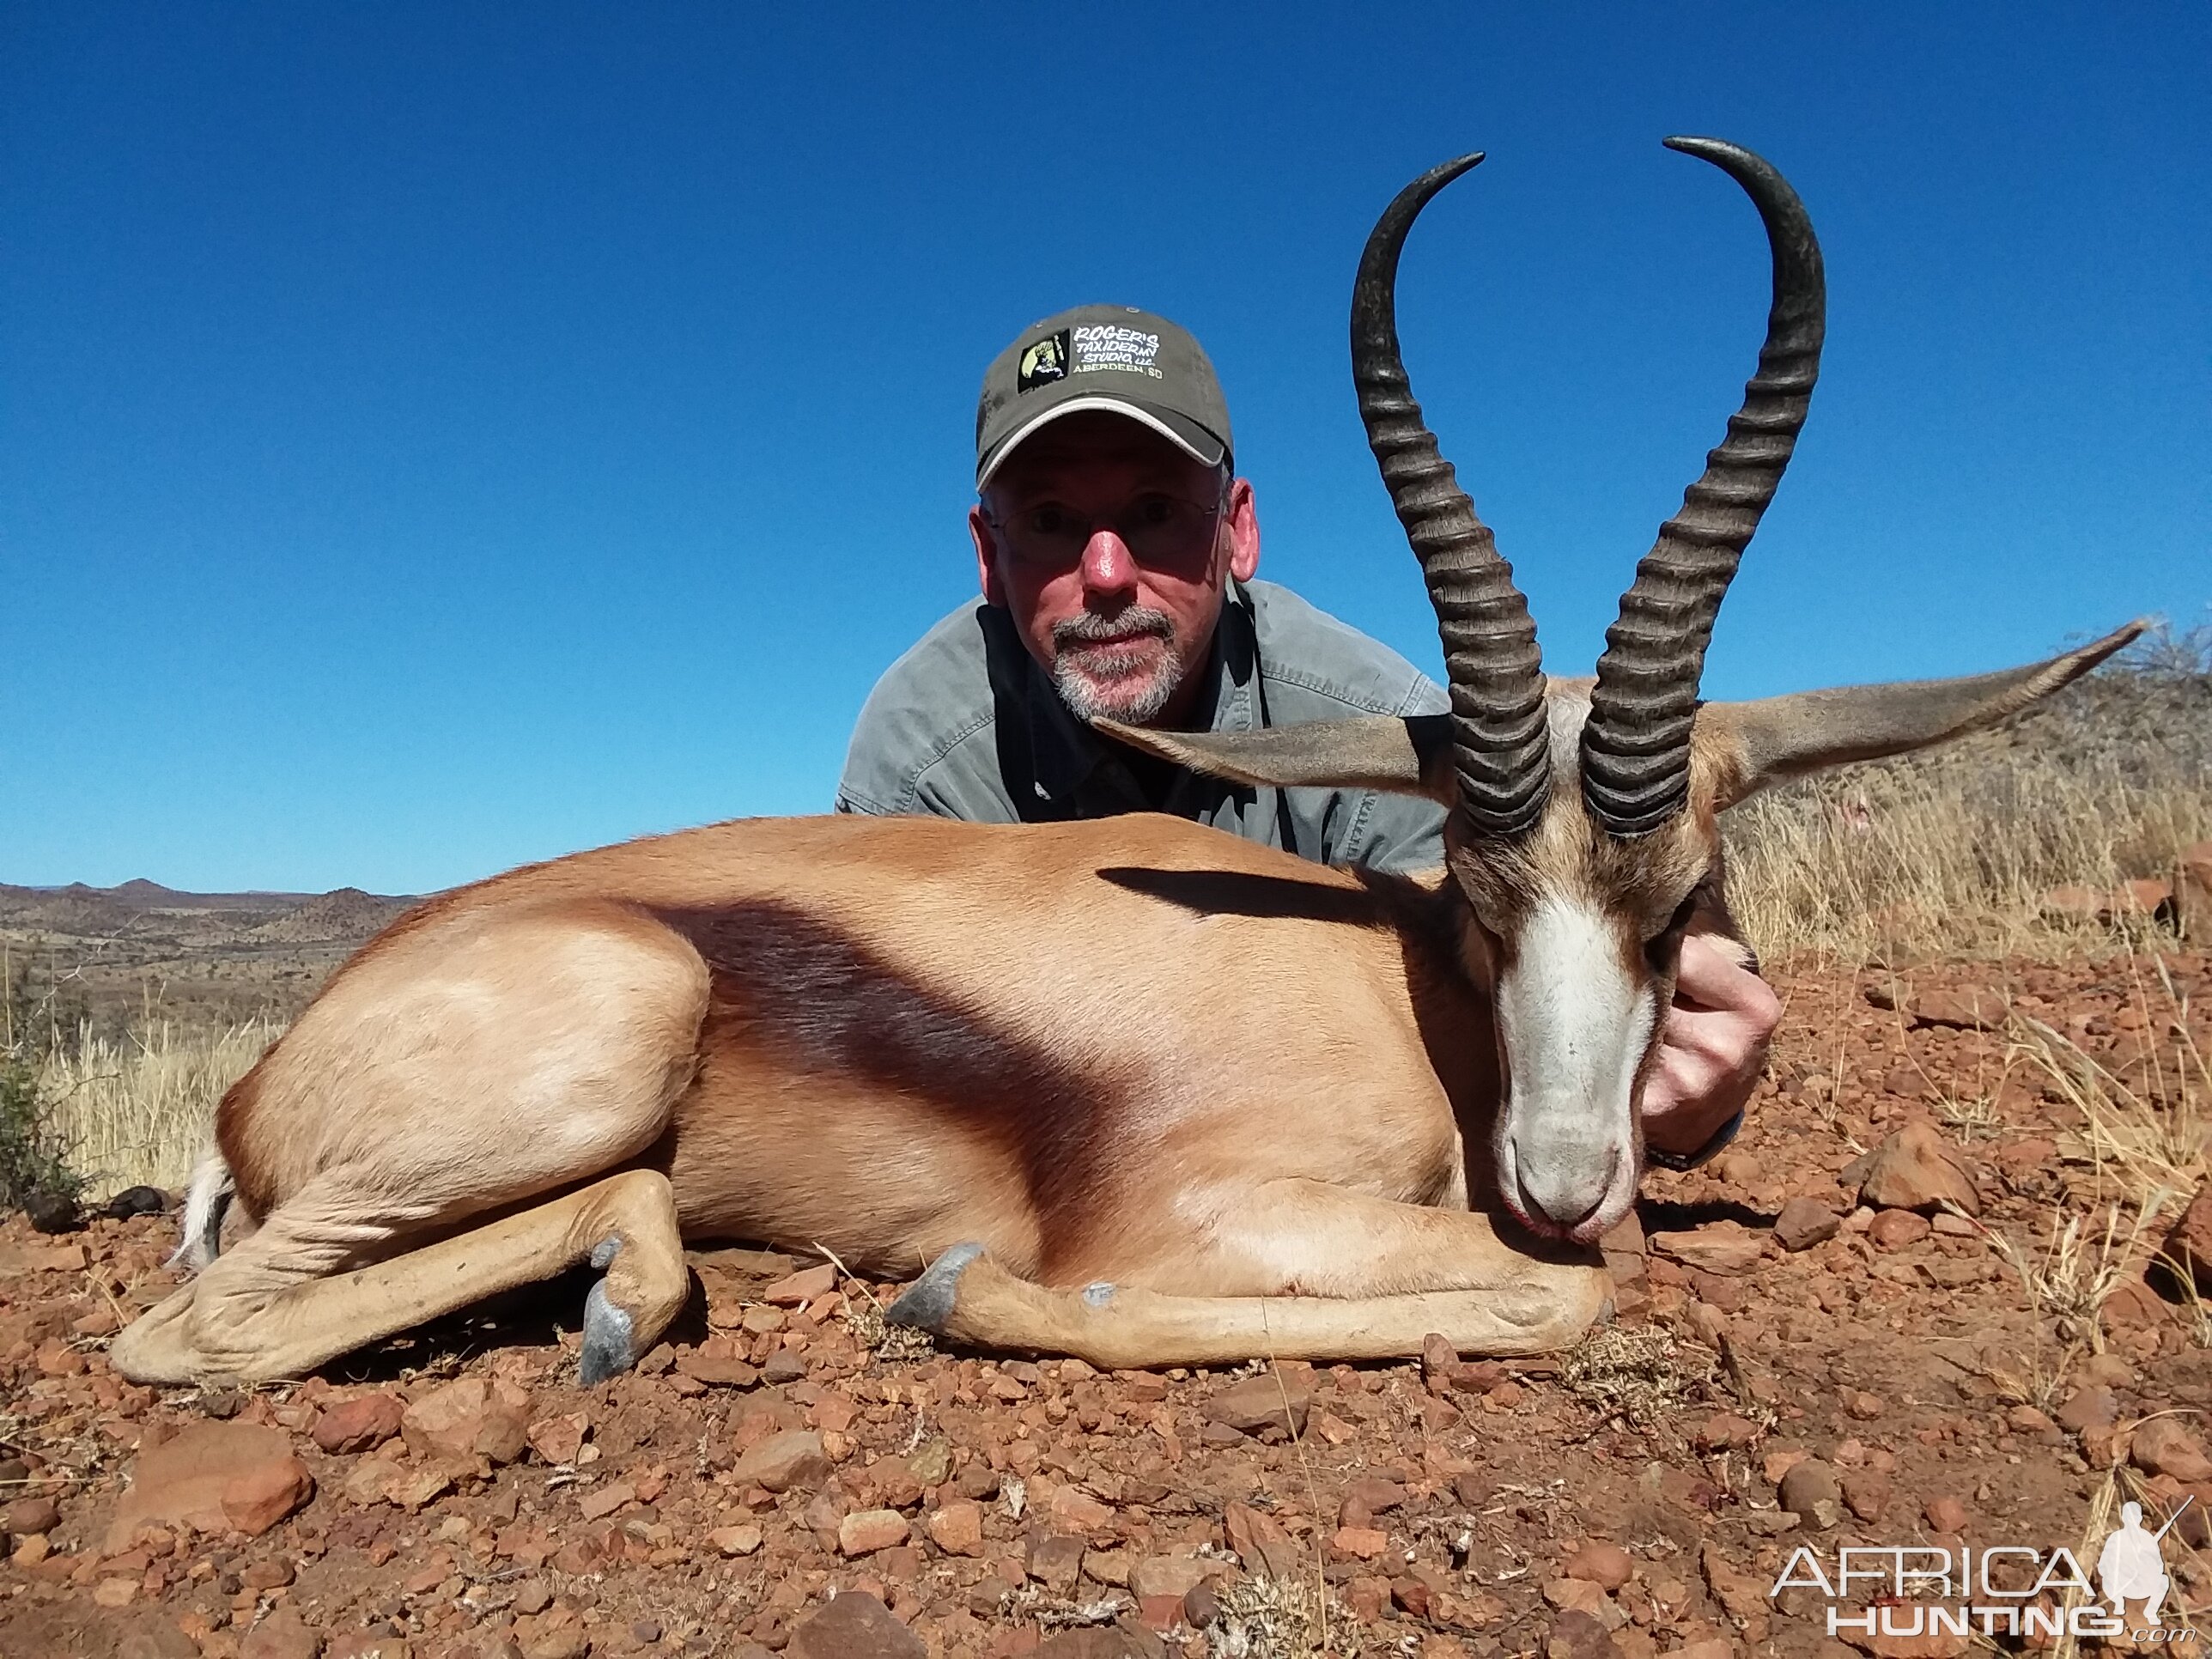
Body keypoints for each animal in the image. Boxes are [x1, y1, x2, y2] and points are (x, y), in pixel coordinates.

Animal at [112, 139, 2132, 1389]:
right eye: (1480, 896)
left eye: (1684, 899)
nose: (1563, 1174)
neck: (1417, 1007)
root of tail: (259, 1083)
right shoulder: (1195, 1214)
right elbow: (1550, 1299)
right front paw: (950, 1288)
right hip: (611, 1031)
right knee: (180, 1334)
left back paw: (638, 1285)